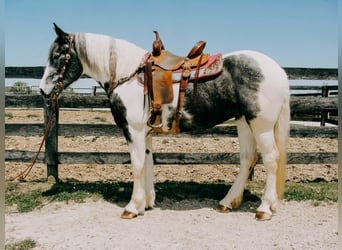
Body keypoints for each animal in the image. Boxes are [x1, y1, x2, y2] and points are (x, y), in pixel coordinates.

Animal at [40, 22, 292, 220]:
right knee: (248, 159)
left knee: (271, 159)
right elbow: (148, 162)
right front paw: (147, 202)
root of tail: (278, 71)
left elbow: (137, 165)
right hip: (244, 123)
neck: (128, 74)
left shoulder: (133, 131)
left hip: (261, 126)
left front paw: (132, 207)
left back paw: (264, 208)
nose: (43, 90)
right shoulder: (145, 133)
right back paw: (228, 202)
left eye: (58, 56)